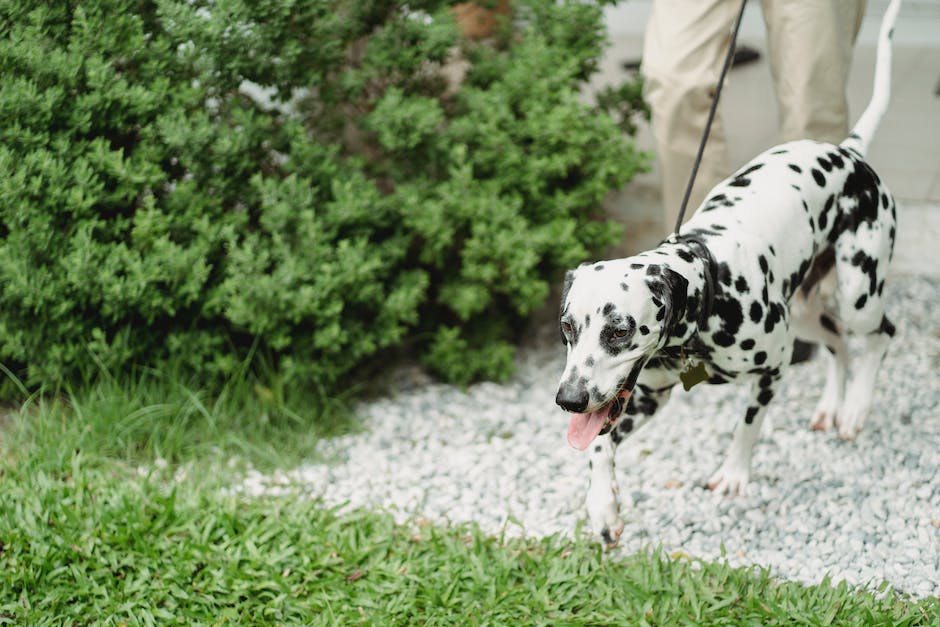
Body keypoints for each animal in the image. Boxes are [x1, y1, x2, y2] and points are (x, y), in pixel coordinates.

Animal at [560, 0, 904, 548]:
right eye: (567, 329)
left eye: (618, 331)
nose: (568, 399)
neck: (709, 284)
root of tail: (849, 151)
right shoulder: (646, 398)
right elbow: (598, 446)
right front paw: (603, 509)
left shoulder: (773, 369)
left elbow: (747, 424)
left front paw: (735, 474)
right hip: (805, 312)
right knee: (838, 344)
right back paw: (833, 406)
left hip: (858, 295)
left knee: (879, 336)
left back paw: (854, 410)